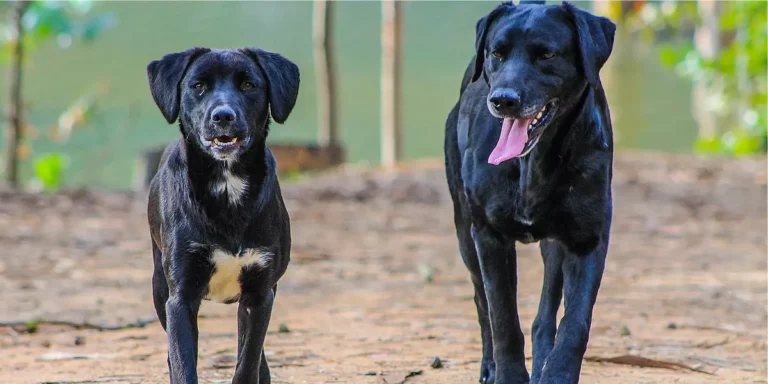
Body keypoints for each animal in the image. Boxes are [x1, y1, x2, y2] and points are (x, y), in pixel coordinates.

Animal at [146, 47, 298, 384]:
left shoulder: (259, 293)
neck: (227, 185)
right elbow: (183, 363)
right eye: (198, 85)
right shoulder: (180, 297)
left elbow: (248, 361)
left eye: (249, 85)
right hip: (159, 284)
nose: (223, 116)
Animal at [448, 1, 616, 382]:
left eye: (547, 54)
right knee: (481, 303)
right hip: (465, 233)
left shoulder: (587, 241)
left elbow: (574, 325)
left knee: (544, 317)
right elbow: (502, 320)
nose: (503, 100)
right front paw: (507, 374)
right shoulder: (488, 236)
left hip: (555, 245)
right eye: (497, 53)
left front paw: (556, 374)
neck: (532, 162)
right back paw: (489, 367)